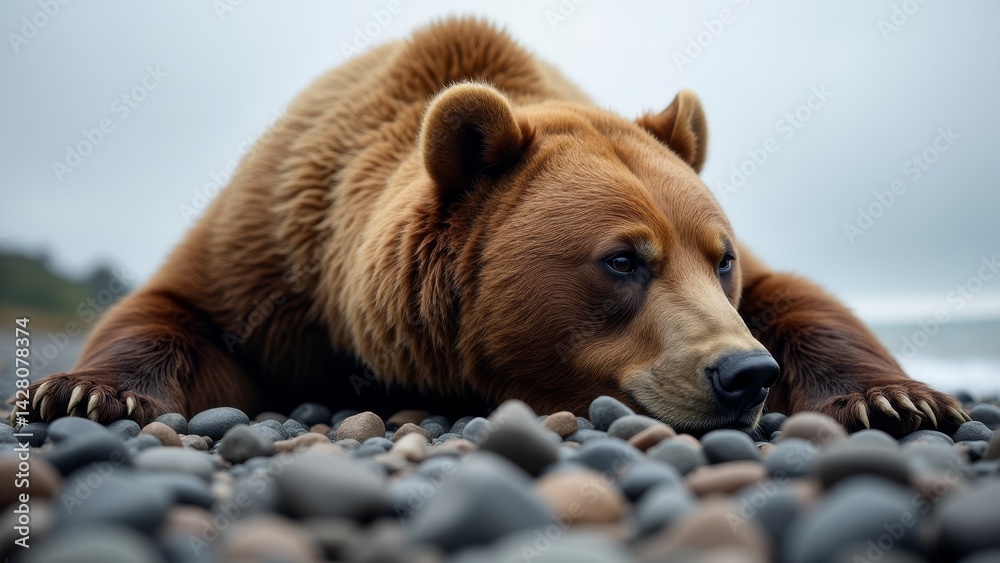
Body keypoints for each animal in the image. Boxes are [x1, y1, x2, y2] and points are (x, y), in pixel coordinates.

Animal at [11, 18, 968, 438]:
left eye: (721, 257)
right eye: (623, 259)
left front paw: (898, 395)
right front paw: (84, 389)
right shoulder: (272, 247)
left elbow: (801, 298)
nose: (743, 373)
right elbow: (174, 308)